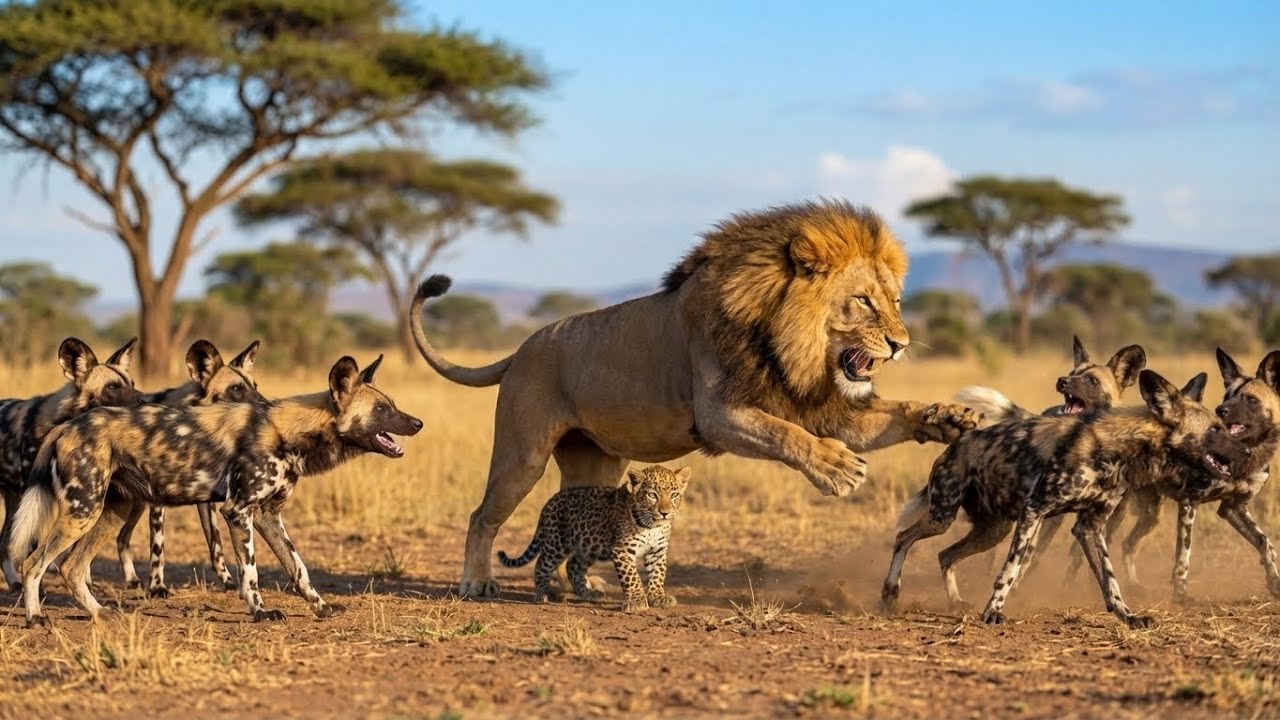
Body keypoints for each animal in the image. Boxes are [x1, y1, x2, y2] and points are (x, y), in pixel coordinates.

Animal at [409, 199, 981, 598]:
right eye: (862, 301)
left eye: (897, 301)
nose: (901, 343)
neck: (787, 342)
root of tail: (521, 348)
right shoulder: (718, 414)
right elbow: (785, 434)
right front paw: (836, 469)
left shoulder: (826, 407)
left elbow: (891, 416)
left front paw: (949, 417)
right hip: (522, 455)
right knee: (482, 517)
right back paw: (475, 583)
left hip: (596, 465)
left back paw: (588, 584)